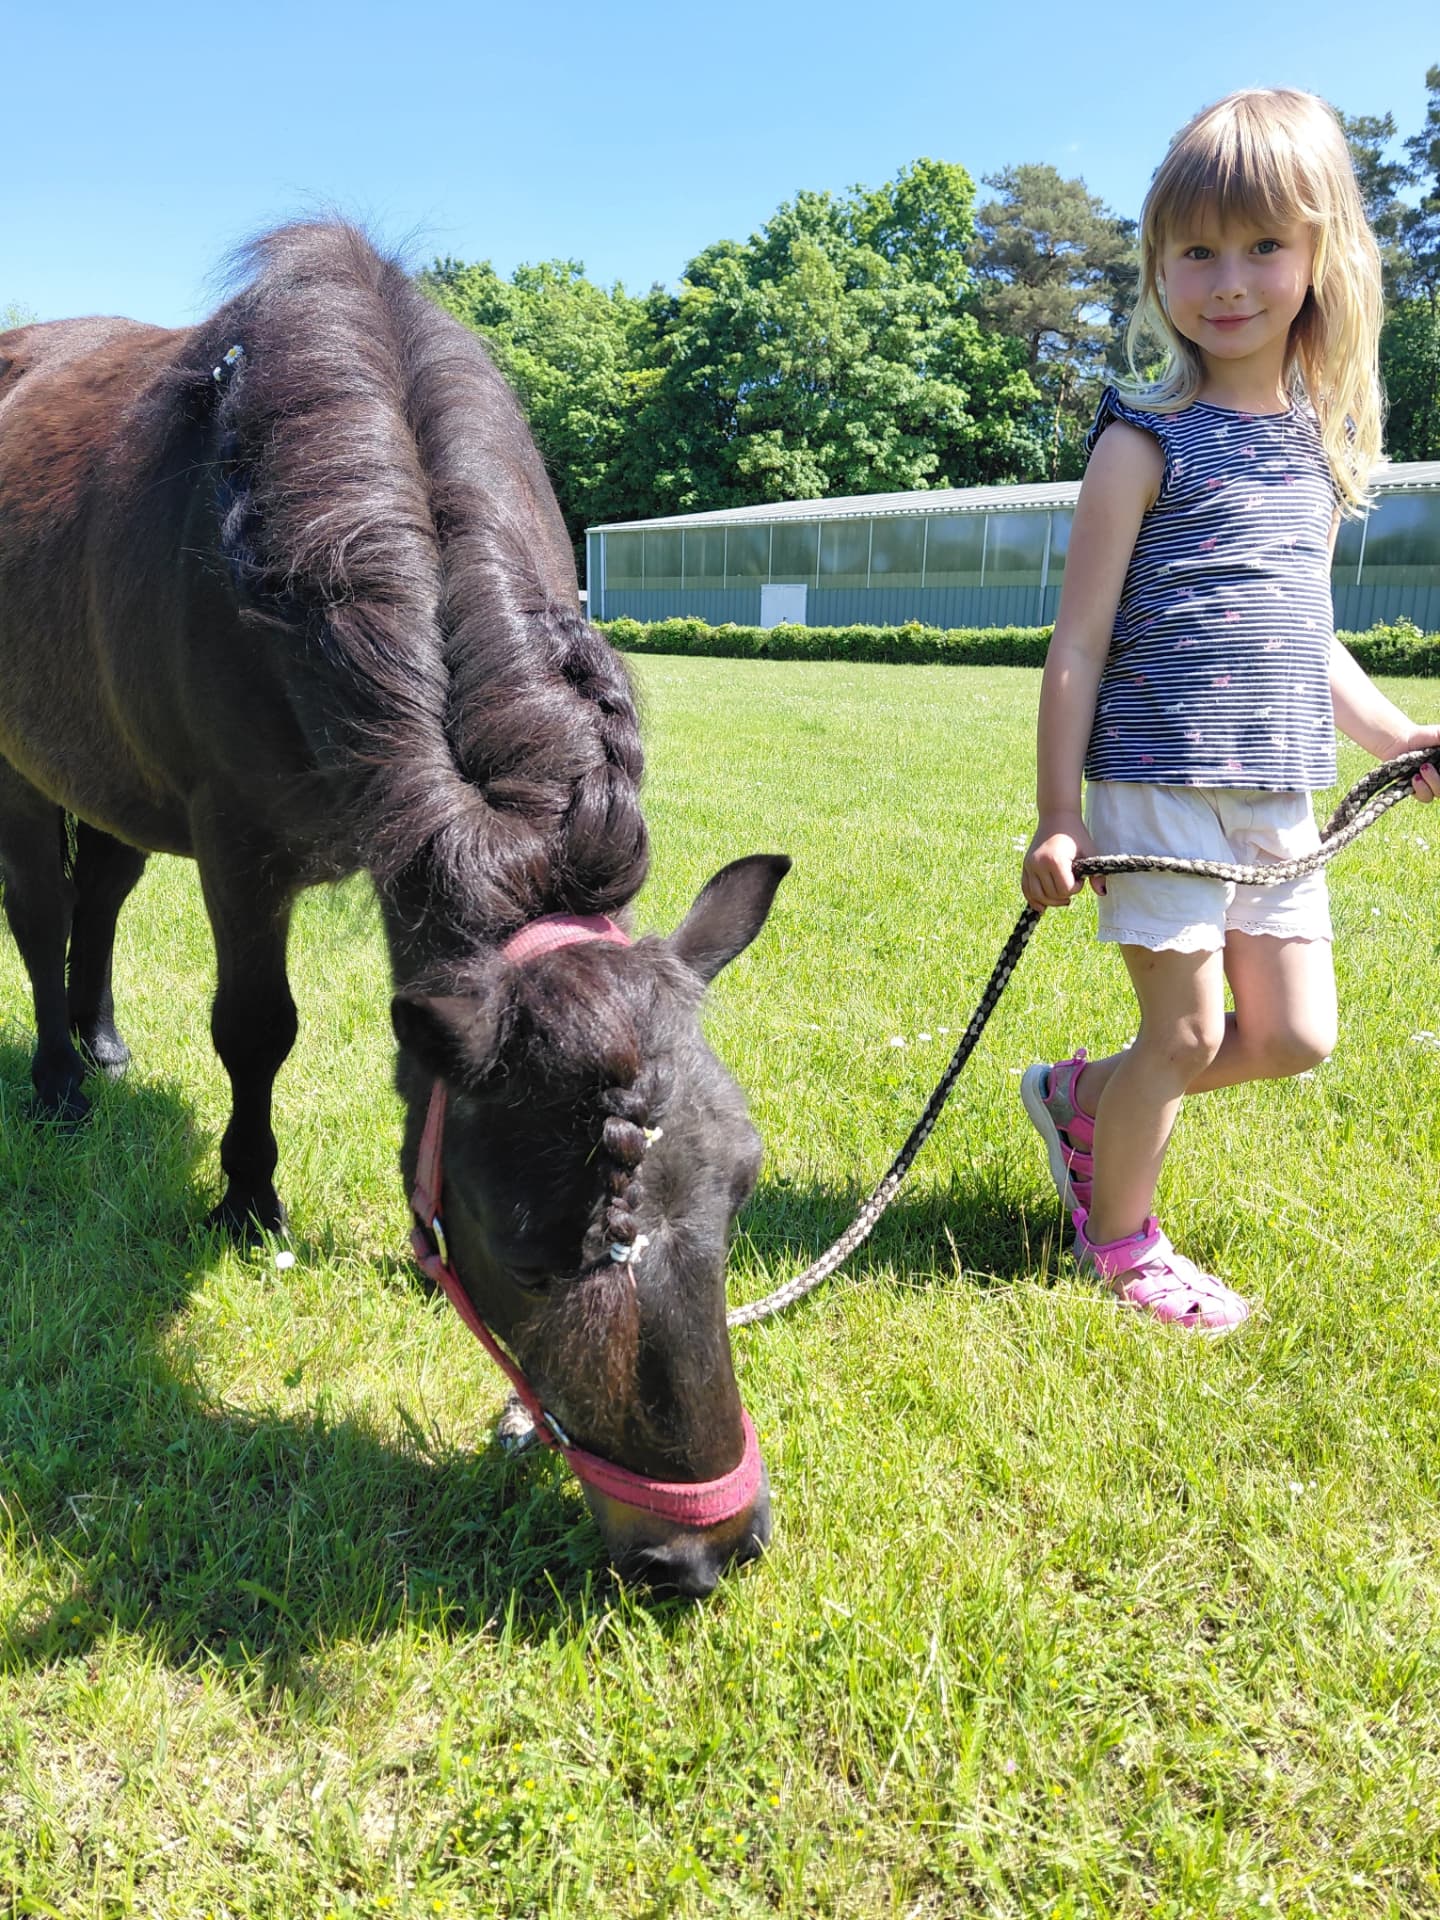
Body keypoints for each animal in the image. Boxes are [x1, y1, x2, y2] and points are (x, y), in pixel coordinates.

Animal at [0, 222, 787, 1598]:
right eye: (524, 1248)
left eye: (742, 1188)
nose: (701, 1552)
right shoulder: (234, 841)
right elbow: (255, 1029)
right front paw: (247, 1204)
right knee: (42, 915)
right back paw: (56, 1078)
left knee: (99, 894)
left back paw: (100, 1040)